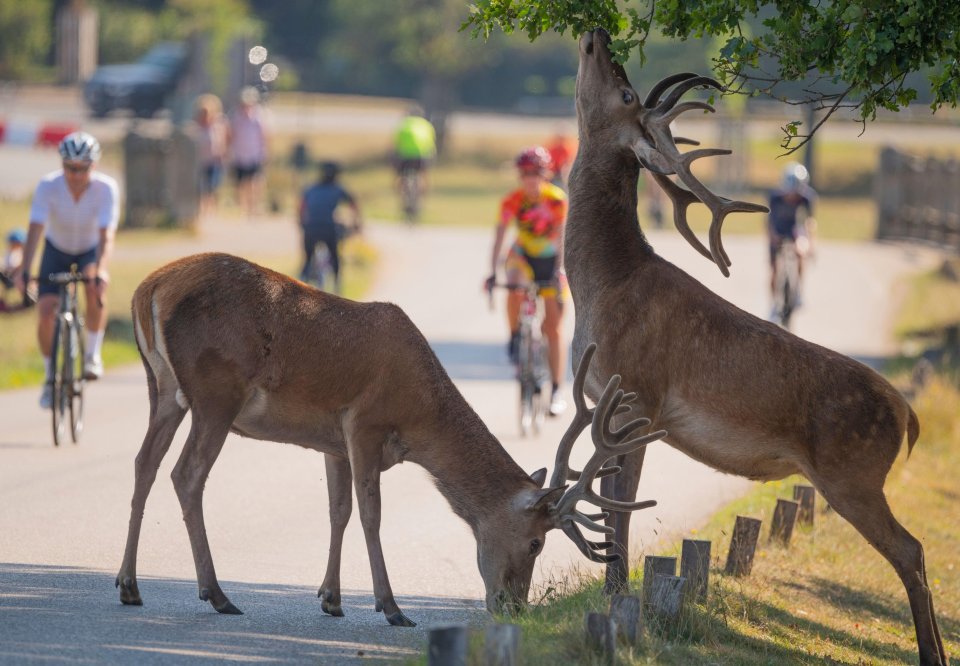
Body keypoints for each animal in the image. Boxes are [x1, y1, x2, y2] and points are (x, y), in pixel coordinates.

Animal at [116, 252, 664, 624]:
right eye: (535, 542)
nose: (513, 607)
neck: (420, 417)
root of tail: (149, 289)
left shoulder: (331, 442)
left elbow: (337, 511)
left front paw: (331, 598)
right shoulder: (364, 423)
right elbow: (369, 514)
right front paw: (391, 606)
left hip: (162, 388)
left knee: (144, 463)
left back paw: (129, 585)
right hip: (215, 392)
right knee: (186, 474)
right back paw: (217, 593)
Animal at [568, 28, 948, 660]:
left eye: (625, 93)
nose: (597, 36)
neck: (601, 284)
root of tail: (908, 415)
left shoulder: (638, 395)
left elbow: (620, 499)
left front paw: (616, 594)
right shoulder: (609, 401)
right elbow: (612, 495)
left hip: (853, 471)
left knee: (911, 549)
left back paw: (930, 652)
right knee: (912, 550)